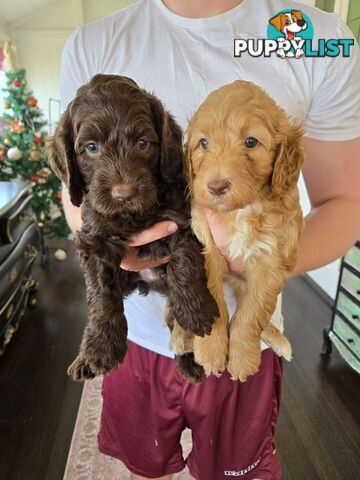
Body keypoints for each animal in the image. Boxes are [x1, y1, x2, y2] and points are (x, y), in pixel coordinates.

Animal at [46, 75, 218, 382]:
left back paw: (189, 359)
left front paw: (194, 310)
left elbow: (184, 260)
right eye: (91, 147)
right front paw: (100, 350)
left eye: (142, 144)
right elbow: (101, 296)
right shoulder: (95, 238)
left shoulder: (181, 218)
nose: (123, 194)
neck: (132, 215)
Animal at [186, 80, 304, 380]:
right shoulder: (209, 249)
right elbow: (215, 302)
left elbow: (251, 314)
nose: (216, 186)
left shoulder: (271, 264)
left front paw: (241, 360)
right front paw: (211, 351)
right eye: (203, 143)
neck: (241, 211)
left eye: (251, 141)